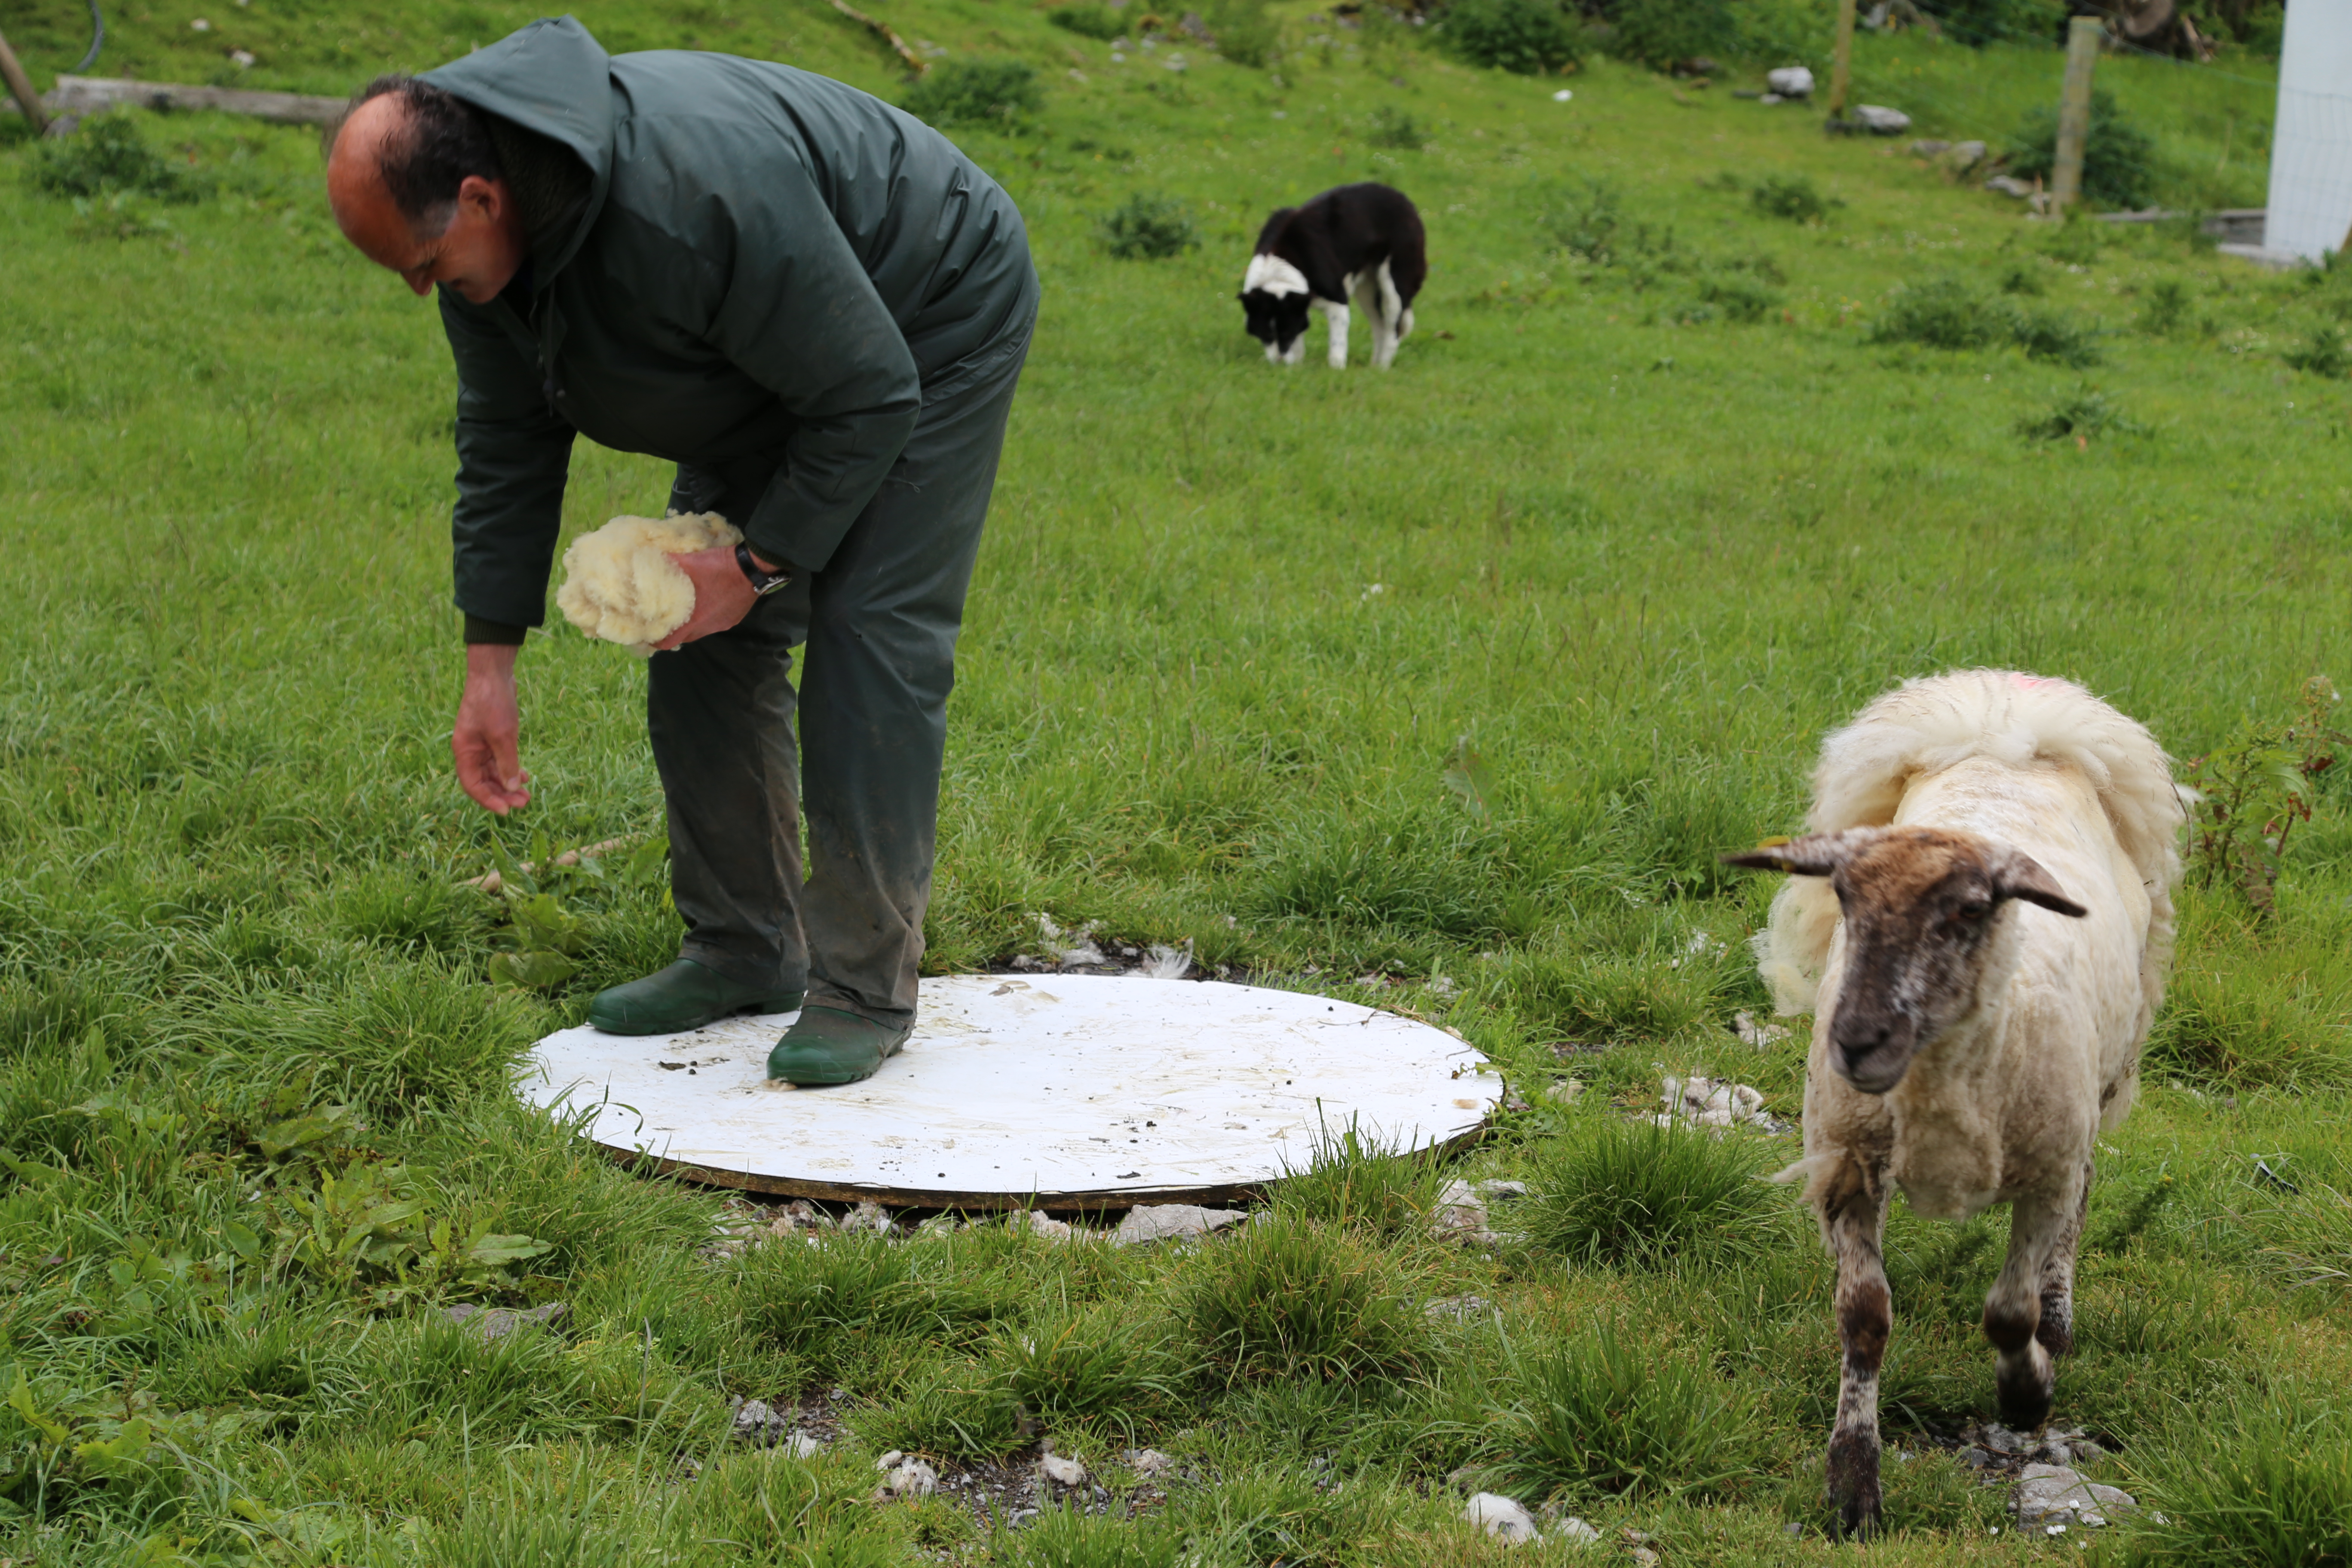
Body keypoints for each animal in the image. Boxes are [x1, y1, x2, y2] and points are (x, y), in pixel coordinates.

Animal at [1712, 668, 2183, 1542]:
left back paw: (2058, 1322)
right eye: (1846, 899)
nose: (1856, 1041)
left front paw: (2026, 1394)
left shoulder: (2041, 1176)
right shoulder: (1847, 1170)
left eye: (1966, 910)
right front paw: (1853, 1483)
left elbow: (2007, 1312)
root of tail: (2005, 723)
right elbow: (1863, 1318)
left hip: (2090, 1097)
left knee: (2083, 1197)